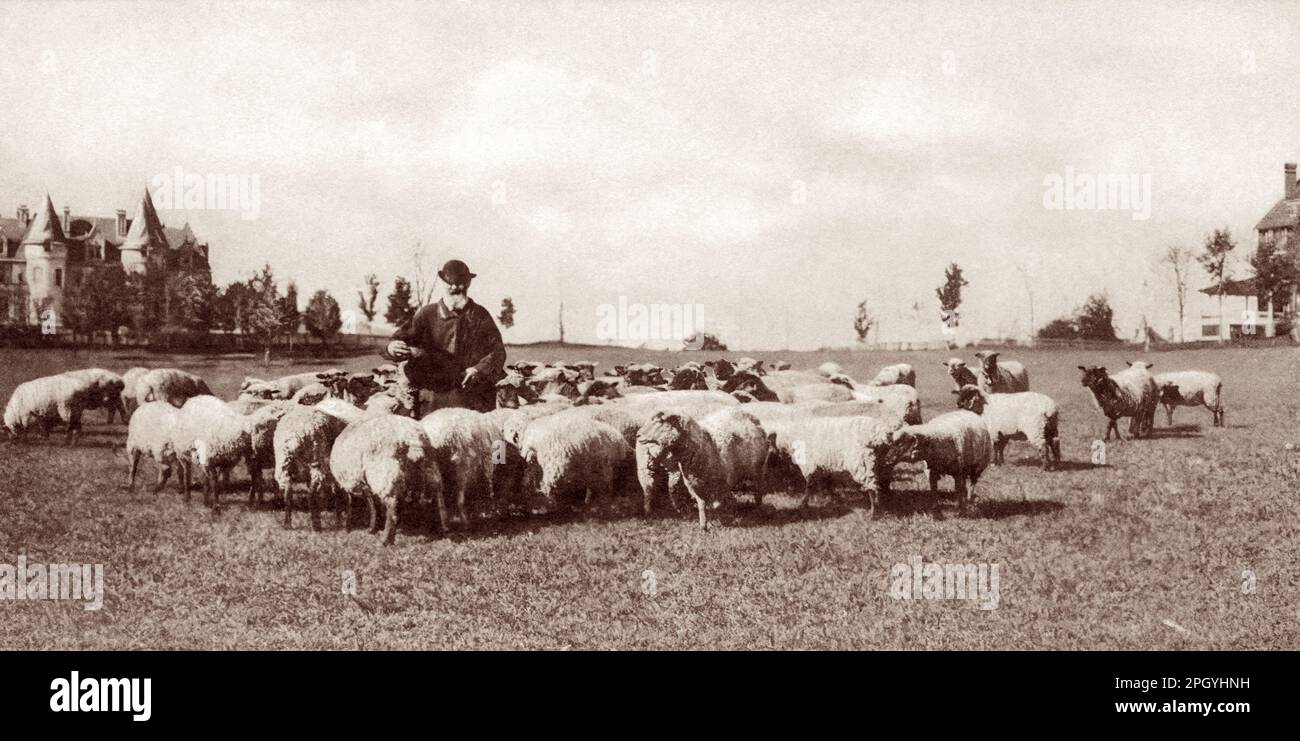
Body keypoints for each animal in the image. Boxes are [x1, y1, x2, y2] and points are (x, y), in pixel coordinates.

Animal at [327, 413, 449, 546]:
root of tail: (412, 437)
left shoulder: (349, 484)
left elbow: (352, 503)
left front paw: (348, 526)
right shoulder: (363, 484)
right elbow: (372, 504)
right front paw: (371, 527)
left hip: (384, 473)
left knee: (391, 505)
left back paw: (385, 540)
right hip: (430, 465)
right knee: (438, 492)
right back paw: (444, 528)